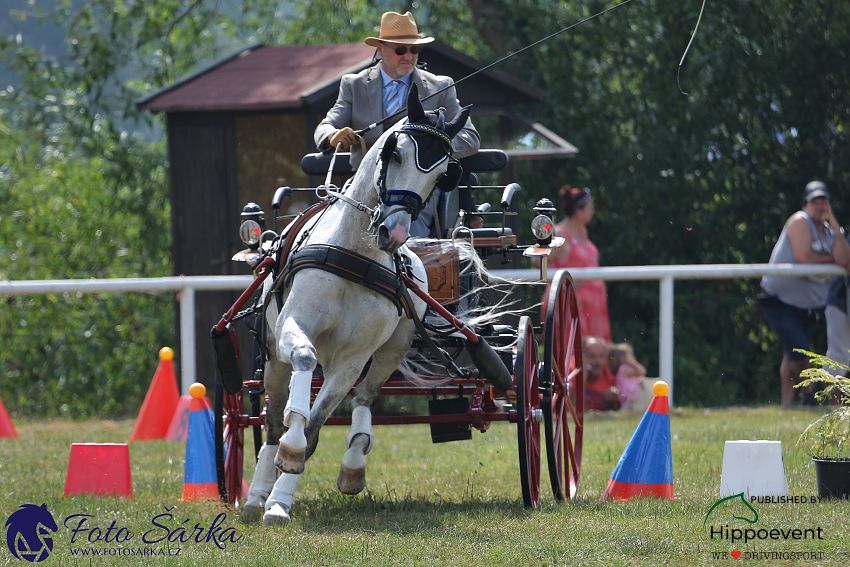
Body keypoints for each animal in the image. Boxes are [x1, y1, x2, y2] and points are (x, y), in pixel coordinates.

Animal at [238, 85, 470, 528]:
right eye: (395, 153)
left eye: (441, 175)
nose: (394, 232)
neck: (355, 254)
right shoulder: (295, 326)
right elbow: (304, 366)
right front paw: (276, 484)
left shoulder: (352, 358)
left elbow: (314, 428)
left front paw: (284, 492)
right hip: (273, 358)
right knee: (272, 421)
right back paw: (256, 496)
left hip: (393, 347)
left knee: (365, 396)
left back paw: (351, 466)